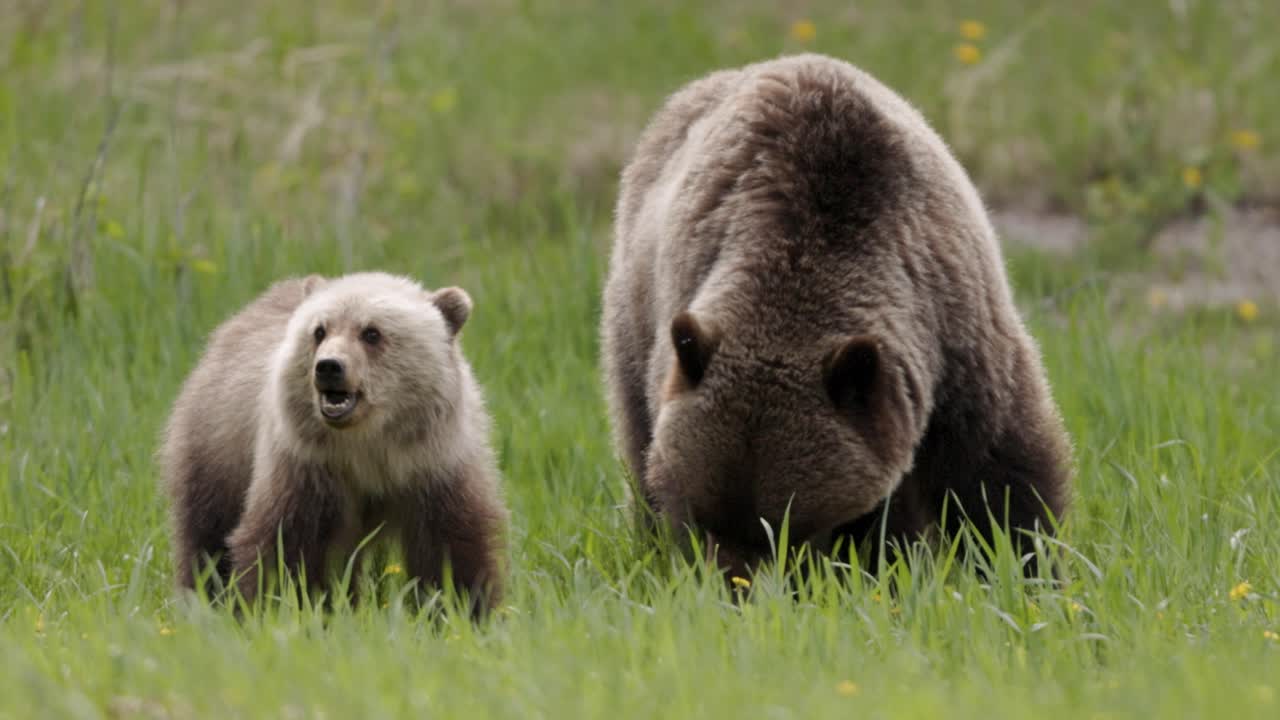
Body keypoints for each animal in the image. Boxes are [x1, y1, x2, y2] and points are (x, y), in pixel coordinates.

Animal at [160, 272, 507, 613]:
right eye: (319, 331)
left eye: (371, 332)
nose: (328, 366)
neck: (370, 445)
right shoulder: (307, 466)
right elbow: (286, 545)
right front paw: (287, 606)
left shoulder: (436, 464)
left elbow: (451, 546)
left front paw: (461, 608)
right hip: (218, 444)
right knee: (207, 533)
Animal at [601, 54, 1072, 579]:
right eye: (706, 518)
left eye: (785, 526)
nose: (736, 583)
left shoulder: (958, 334)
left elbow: (999, 473)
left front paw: (1023, 568)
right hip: (635, 318)